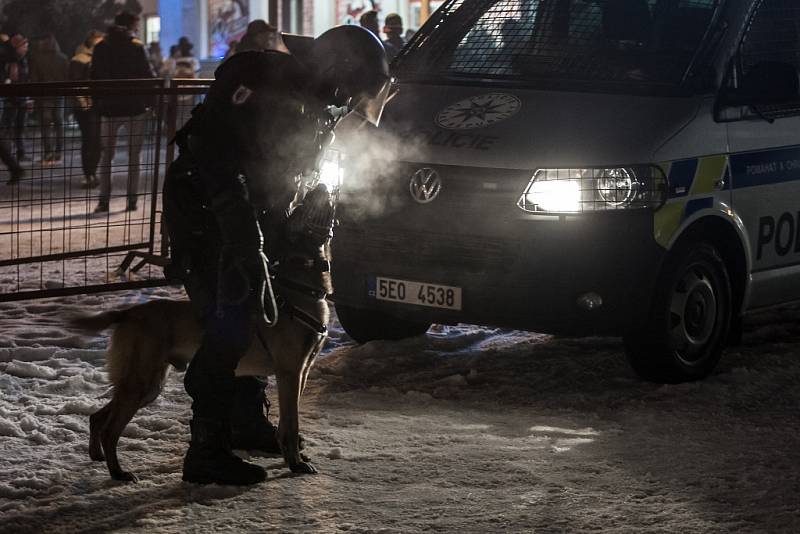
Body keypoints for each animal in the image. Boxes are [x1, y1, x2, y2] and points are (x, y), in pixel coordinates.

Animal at [69, 186, 332, 484]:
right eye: (302, 209)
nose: (320, 186)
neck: (299, 287)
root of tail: (130, 311)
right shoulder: (290, 373)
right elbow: (291, 425)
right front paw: (296, 463)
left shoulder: (301, 373)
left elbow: (287, 424)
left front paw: (293, 456)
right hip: (141, 383)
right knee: (110, 429)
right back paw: (118, 472)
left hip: (146, 384)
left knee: (98, 418)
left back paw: (97, 455)